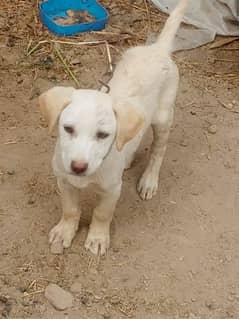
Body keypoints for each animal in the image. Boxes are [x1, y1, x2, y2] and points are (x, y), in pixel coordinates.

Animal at [39, 0, 189, 256]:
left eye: (102, 135)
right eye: (67, 128)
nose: (78, 167)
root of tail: (158, 49)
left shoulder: (112, 190)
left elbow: (102, 214)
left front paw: (98, 238)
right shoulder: (64, 181)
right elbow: (70, 209)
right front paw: (64, 231)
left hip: (163, 116)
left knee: (158, 150)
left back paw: (149, 180)